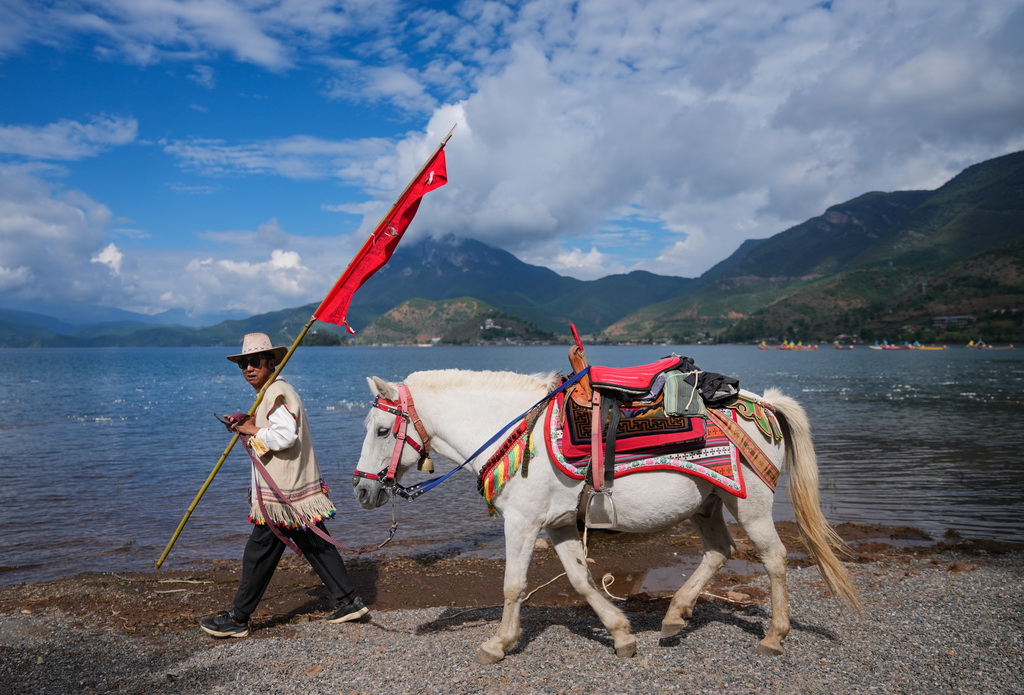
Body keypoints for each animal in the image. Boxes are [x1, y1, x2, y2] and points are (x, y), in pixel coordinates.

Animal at [352, 368, 860, 664]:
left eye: (382, 430)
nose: (361, 490)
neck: (517, 432)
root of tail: (766, 404)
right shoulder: (557, 524)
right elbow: (580, 579)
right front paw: (621, 634)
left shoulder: (522, 521)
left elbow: (513, 584)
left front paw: (498, 643)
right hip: (708, 504)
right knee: (719, 552)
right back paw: (675, 616)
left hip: (749, 504)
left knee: (774, 559)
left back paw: (774, 635)